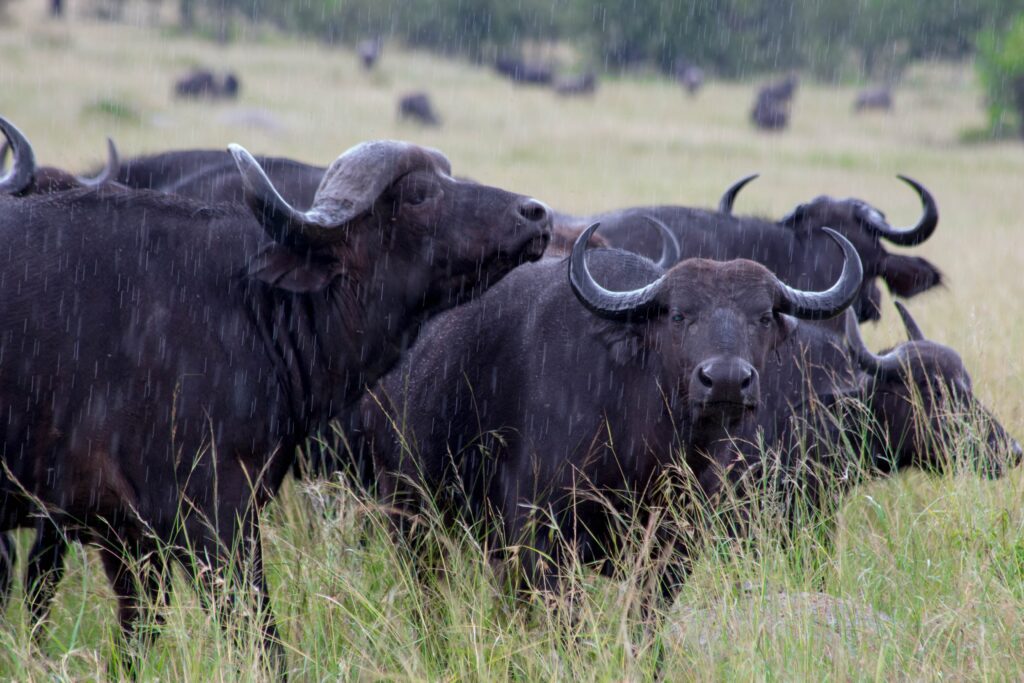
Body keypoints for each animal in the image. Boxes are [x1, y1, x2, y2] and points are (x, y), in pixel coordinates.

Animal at [356, 225, 860, 598]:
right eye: (678, 315)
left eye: (764, 316)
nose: (726, 379)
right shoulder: (542, 535)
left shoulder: (674, 548)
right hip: (407, 508)